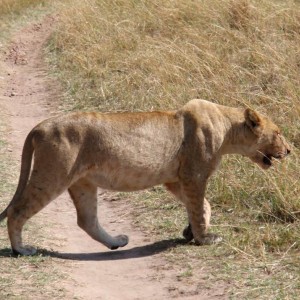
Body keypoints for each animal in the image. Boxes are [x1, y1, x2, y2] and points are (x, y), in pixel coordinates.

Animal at [0, 99, 290, 254]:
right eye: (277, 133)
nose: (289, 150)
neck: (227, 127)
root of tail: (40, 126)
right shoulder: (193, 176)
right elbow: (198, 207)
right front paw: (203, 238)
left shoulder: (174, 179)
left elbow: (202, 206)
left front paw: (189, 231)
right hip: (53, 175)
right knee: (17, 211)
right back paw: (21, 249)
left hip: (82, 182)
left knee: (87, 220)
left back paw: (116, 242)